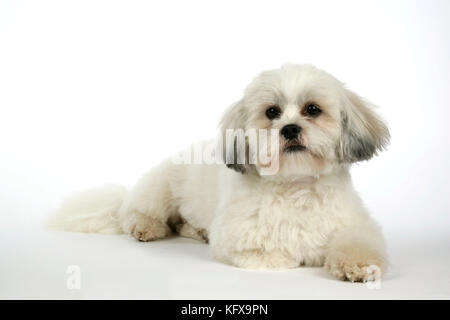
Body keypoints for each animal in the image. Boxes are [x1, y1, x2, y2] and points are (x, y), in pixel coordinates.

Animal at [47, 63, 388, 282]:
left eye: (313, 110)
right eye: (272, 112)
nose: (290, 128)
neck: (295, 185)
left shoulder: (355, 224)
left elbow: (359, 243)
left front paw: (359, 265)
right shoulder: (238, 237)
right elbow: (271, 251)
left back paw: (195, 230)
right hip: (159, 189)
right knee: (137, 213)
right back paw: (147, 227)